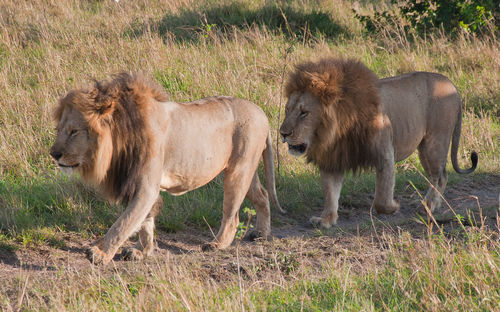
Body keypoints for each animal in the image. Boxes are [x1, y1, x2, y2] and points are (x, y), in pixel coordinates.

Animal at [50, 72, 286, 264]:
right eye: (59, 130)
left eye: (74, 131)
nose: (54, 154)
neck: (119, 139)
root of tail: (261, 112)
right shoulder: (138, 184)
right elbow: (144, 222)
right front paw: (142, 251)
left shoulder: (146, 186)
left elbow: (124, 222)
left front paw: (100, 253)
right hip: (246, 168)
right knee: (262, 194)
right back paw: (261, 233)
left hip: (239, 170)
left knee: (232, 215)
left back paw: (217, 244)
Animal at [280, 58, 478, 228]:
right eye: (287, 110)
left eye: (304, 112)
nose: (283, 133)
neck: (336, 131)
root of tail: (451, 84)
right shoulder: (333, 158)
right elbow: (330, 193)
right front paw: (326, 220)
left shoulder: (384, 153)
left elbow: (381, 198)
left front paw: (394, 206)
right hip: (425, 148)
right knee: (436, 176)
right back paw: (431, 205)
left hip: (434, 143)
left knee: (441, 175)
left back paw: (427, 206)